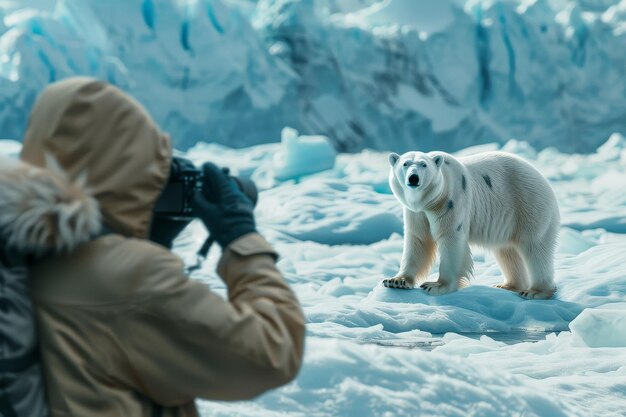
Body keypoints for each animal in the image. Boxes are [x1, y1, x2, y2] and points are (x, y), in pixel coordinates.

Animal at [382, 150, 560, 300]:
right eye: (405, 164)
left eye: (423, 164)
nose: (413, 178)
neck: (431, 200)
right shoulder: (416, 212)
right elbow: (418, 239)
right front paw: (396, 281)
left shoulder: (451, 201)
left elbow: (451, 239)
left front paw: (437, 286)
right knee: (506, 251)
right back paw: (507, 285)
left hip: (529, 204)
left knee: (535, 248)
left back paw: (536, 291)